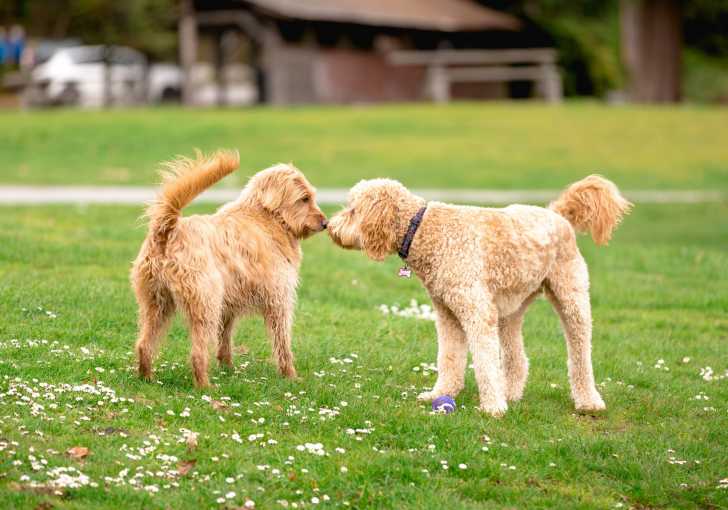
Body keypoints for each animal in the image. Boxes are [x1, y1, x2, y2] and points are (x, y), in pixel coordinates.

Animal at [131, 150, 328, 386]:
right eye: (304, 198)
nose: (326, 223)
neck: (267, 218)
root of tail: (168, 229)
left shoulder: (229, 307)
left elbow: (224, 339)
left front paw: (227, 368)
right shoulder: (279, 300)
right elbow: (282, 343)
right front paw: (290, 375)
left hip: (156, 304)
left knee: (144, 344)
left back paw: (147, 378)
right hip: (205, 304)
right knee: (197, 353)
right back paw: (205, 386)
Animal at [330, 177, 632, 416]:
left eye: (353, 210)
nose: (330, 227)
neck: (423, 230)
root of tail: (557, 214)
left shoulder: (476, 311)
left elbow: (485, 362)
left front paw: (492, 408)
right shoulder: (448, 314)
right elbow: (449, 358)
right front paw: (440, 393)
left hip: (571, 297)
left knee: (580, 353)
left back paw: (588, 401)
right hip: (511, 309)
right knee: (517, 358)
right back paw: (510, 394)